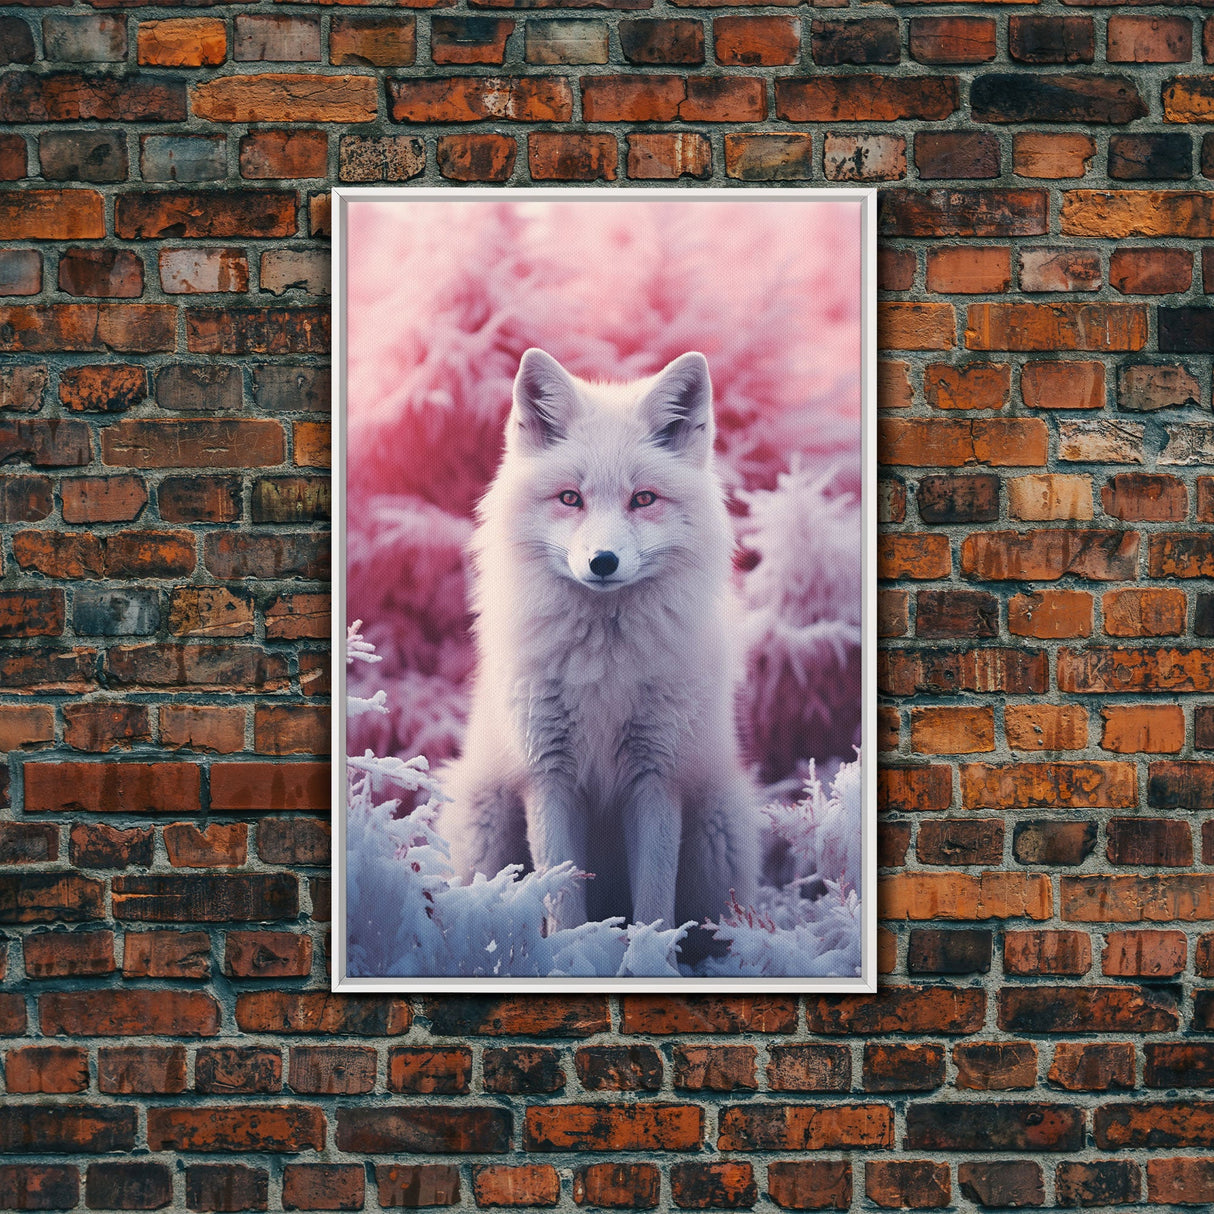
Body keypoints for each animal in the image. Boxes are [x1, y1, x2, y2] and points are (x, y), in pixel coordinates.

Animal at [441, 348, 757, 937]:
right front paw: (572, 952)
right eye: (571, 498)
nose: (603, 562)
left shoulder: (656, 778)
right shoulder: (548, 777)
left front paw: (648, 957)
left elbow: (654, 913)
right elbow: (562, 901)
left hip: (715, 835)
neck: (603, 668)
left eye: (643, 499)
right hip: (486, 828)